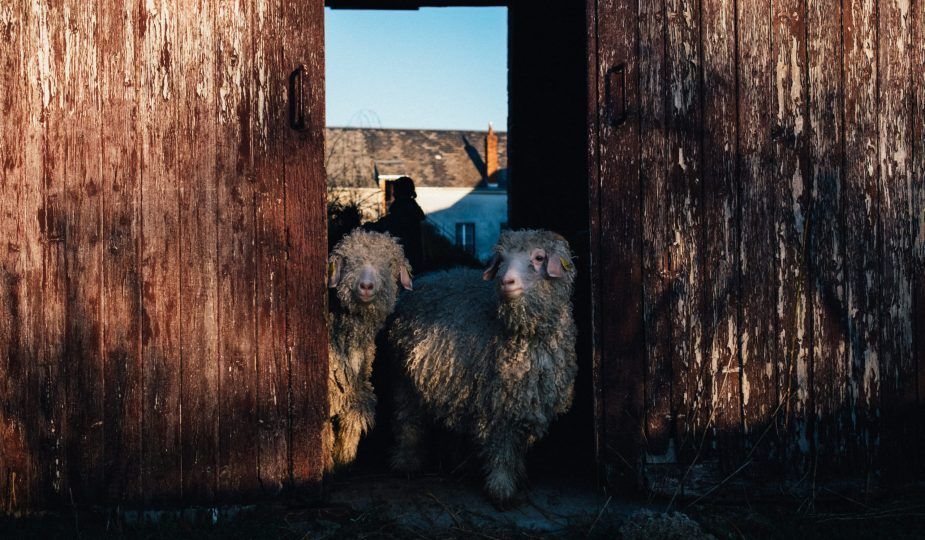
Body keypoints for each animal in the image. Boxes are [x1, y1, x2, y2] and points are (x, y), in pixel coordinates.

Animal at [324, 230, 412, 470]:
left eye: (390, 263)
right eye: (347, 261)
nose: (366, 286)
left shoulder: (354, 391)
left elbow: (352, 422)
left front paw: (342, 460)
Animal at [384, 229, 572, 506]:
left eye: (539, 257)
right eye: (501, 259)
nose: (506, 281)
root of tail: (432, 275)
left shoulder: (527, 402)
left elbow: (516, 447)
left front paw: (515, 477)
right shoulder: (499, 405)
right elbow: (502, 448)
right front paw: (501, 489)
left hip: (450, 384)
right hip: (403, 377)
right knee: (407, 420)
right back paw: (407, 462)